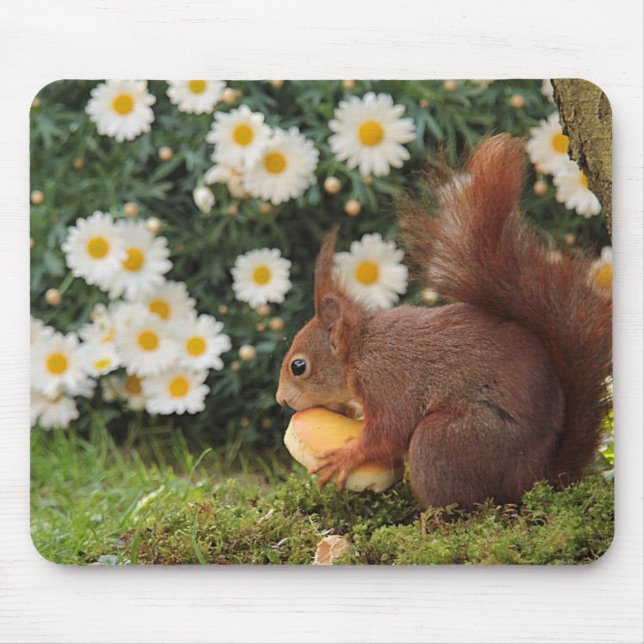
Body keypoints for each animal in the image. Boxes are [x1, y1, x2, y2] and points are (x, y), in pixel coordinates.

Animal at [276, 134, 612, 510]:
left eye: (299, 366)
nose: (281, 400)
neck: (361, 352)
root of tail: (539, 476)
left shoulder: (388, 381)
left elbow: (390, 431)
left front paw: (347, 457)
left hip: (444, 443)